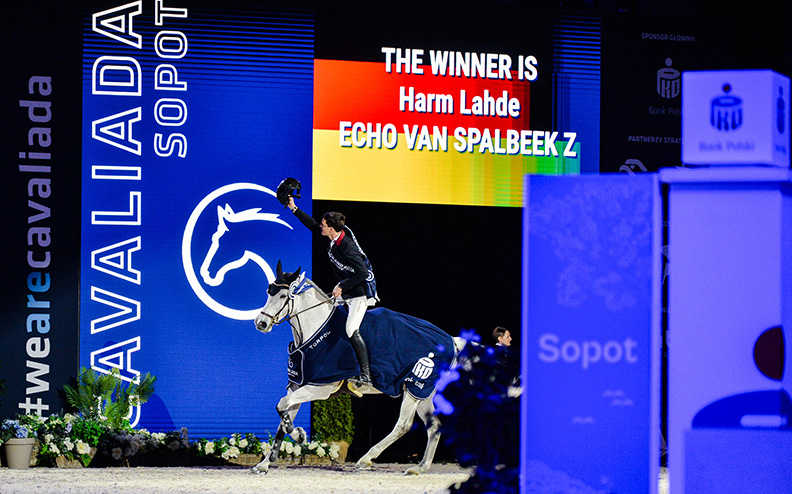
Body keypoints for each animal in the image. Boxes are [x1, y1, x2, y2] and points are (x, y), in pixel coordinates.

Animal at [251, 262, 466, 475]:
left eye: (283, 296)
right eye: (269, 292)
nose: (261, 323)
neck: (315, 330)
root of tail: (450, 340)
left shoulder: (321, 387)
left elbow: (281, 405)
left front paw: (300, 436)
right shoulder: (297, 385)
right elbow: (283, 416)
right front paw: (265, 463)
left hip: (416, 387)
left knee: (403, 425)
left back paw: (365, 459)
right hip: (423, 393)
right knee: (434, 427)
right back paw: (420, 467)